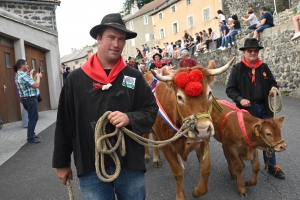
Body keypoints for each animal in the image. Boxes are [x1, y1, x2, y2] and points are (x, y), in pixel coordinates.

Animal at [145, 57, 234, 199]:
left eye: (210, 93)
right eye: (179, 97)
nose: (202, 129)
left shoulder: (204, 140)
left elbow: (206, 169)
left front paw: (198, 191)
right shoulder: (166, 145)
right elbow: (177, 173)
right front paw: (180, 196)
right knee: (149, 137)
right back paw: (152, 157)